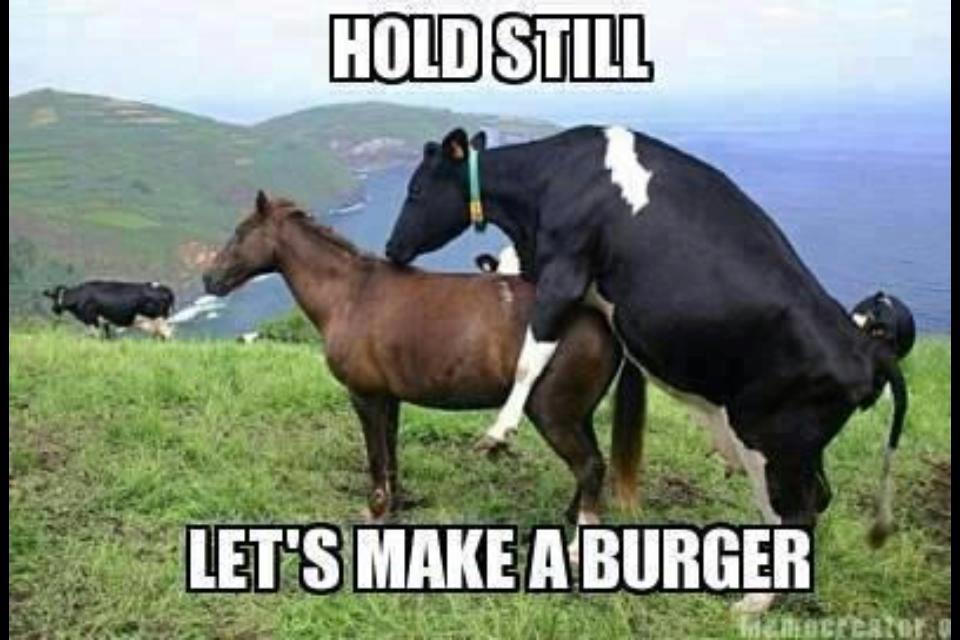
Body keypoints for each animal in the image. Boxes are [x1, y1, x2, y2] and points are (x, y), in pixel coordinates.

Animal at [43, 281, 175, 340]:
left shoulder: (92, 319)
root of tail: (164, 289)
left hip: (158, 319)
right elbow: (107, 337)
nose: (54, 309)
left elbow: (95, 336)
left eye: (54, 298)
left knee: (167, 334)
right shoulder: (105, 321)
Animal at [385, 126, 909, 614]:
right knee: (814, 500)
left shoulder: (565, 269)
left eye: (415, 190)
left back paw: (753, 603)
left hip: (773, 440)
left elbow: (531, 356)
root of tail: (866, 347)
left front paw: (500, 430)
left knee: (798, 513)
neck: (554, 179)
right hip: (793, 447)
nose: (390, 248)